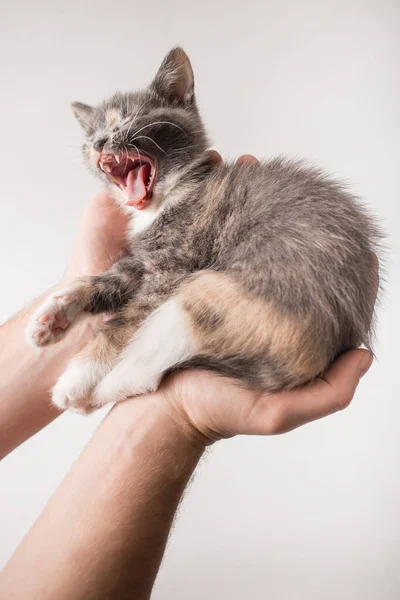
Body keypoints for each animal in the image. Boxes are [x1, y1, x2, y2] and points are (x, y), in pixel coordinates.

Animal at [26, 48, 380, 412]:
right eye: (90, 135)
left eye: (126, 119)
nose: (98, 143)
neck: (169, 197)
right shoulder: (142, 262)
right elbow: (105, 280)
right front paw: (54, 314)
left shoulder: (173, 269)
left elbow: (124, 322)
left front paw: (79, 375)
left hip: (215, 292)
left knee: (146, 372)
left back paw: (95, 392)